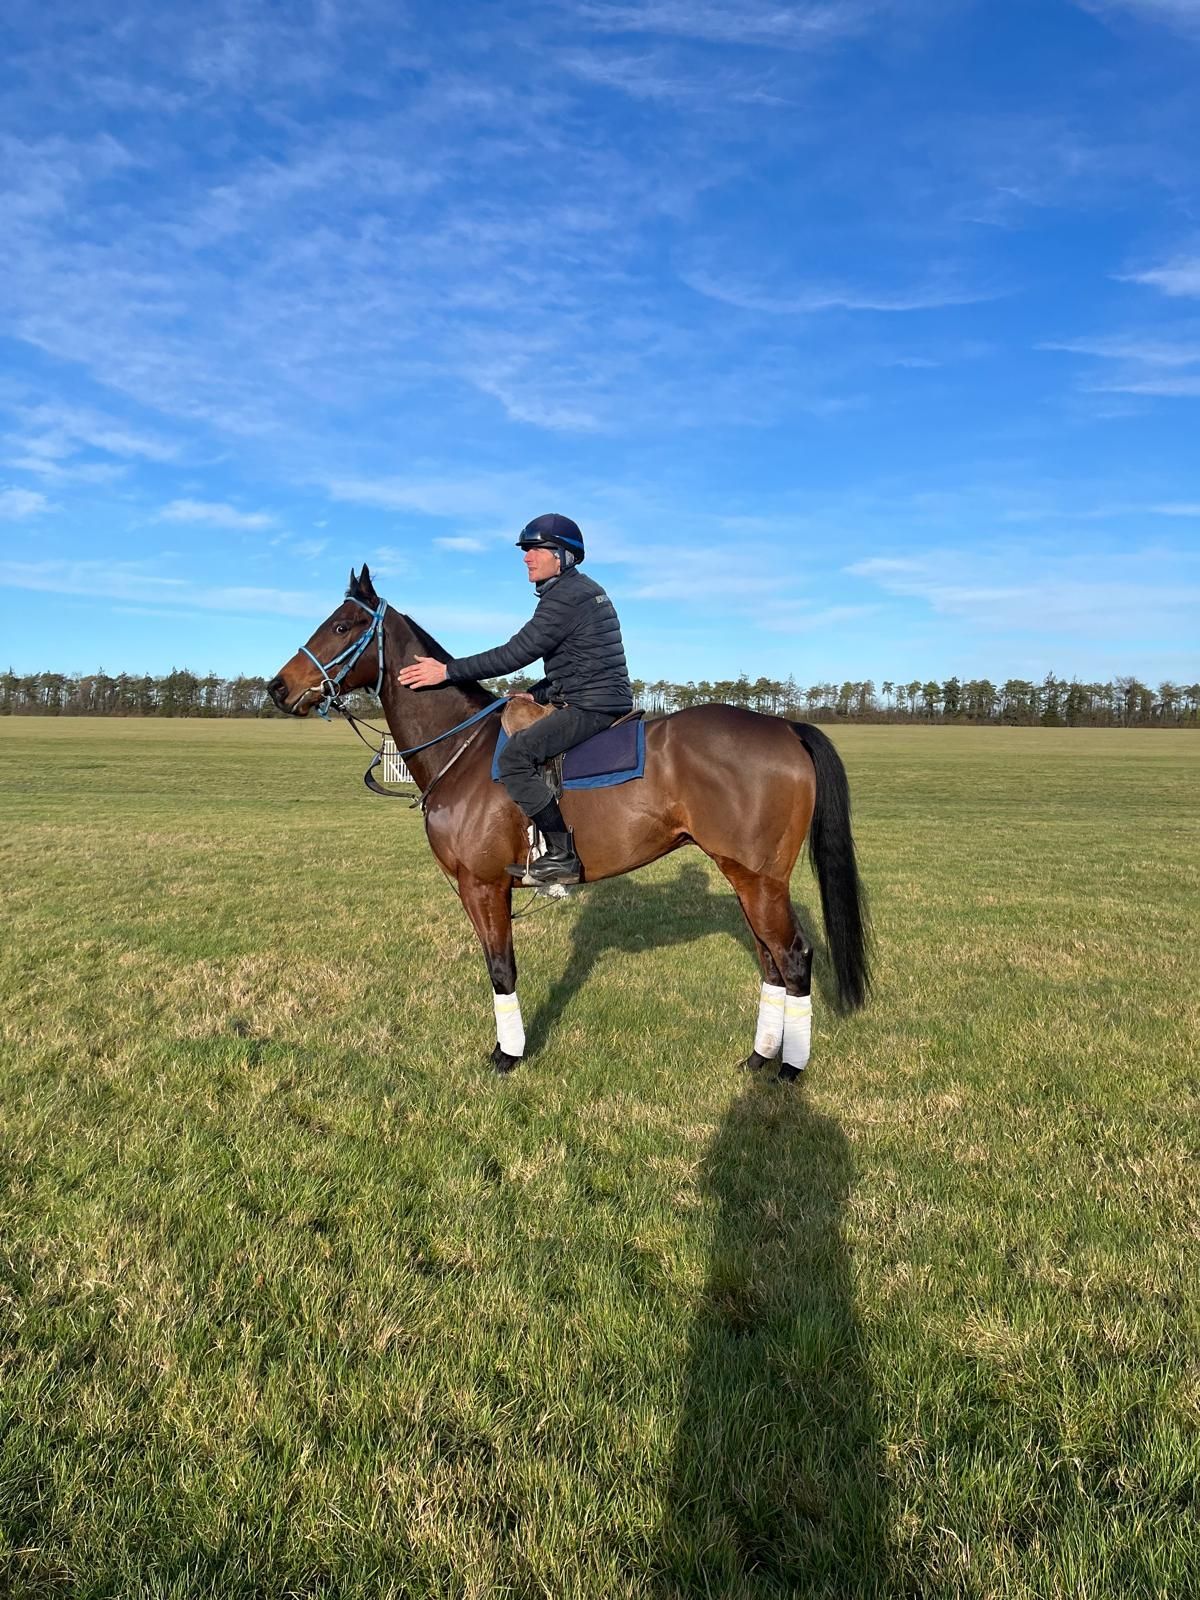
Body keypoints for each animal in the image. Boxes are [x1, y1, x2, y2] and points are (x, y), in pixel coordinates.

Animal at [267, 565, 870, 1077]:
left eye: (342, 625)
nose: (276, 688)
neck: (463, 747)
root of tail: (785, 726)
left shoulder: (482, 885)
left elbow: (501, 969)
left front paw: (507, 1055)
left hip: (758, 879)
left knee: (793, 958)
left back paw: (789, 1069)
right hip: (748, 879)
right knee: (771, 962)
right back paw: (759, 1058)